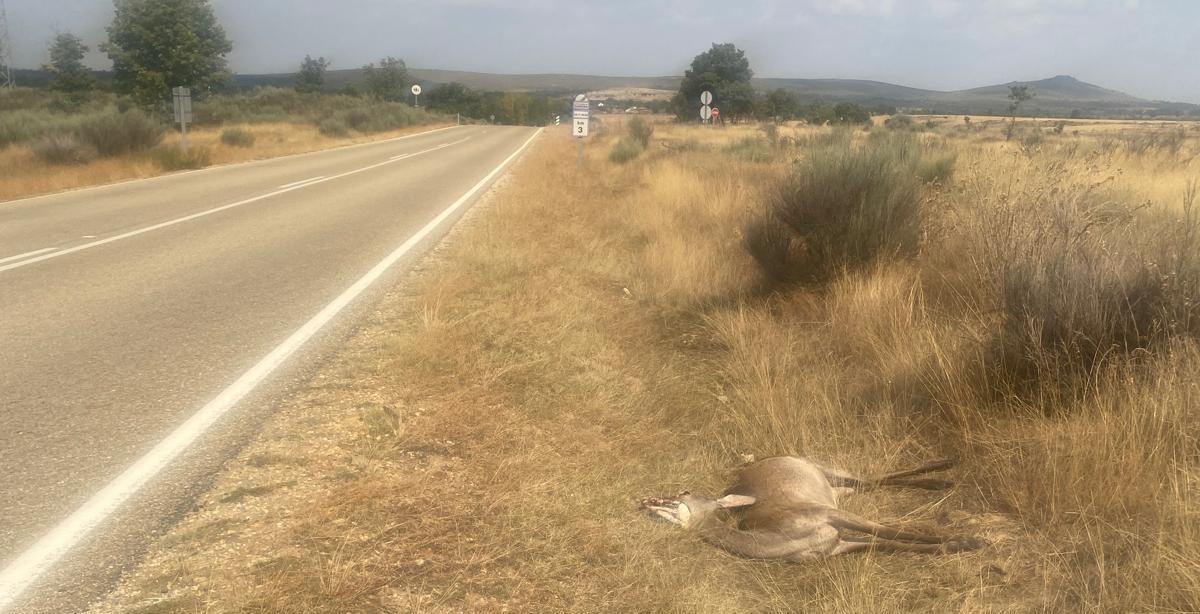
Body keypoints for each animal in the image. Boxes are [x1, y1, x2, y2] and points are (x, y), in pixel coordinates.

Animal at [640, 456, 982, 560]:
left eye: (684, 492)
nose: (647, 501)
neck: (782, 540)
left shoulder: (830, 515)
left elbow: (891, 530)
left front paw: (970, 539)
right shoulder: (837, 544)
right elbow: (889, 543)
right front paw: (956, 544)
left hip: (823, 468)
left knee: (868, 477)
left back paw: (946, 470)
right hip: (835, 487)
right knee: (865, 483)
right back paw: (944, 476)